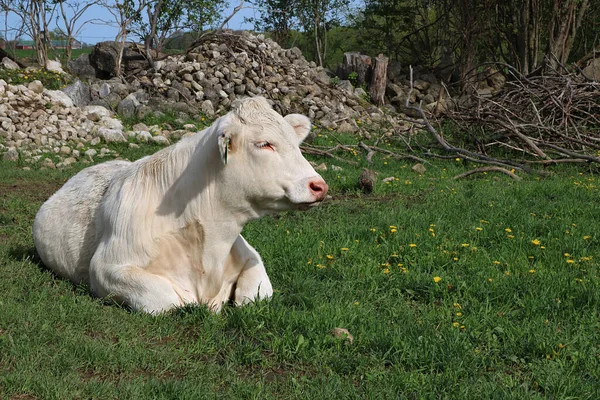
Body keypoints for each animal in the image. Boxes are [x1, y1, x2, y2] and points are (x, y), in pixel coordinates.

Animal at [32, 96, 328, 312]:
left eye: (296, 143)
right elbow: (169, 301)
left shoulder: (251, 256)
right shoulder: (106, 268)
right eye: (264, 144)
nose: (319, 186)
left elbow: (255, 295)